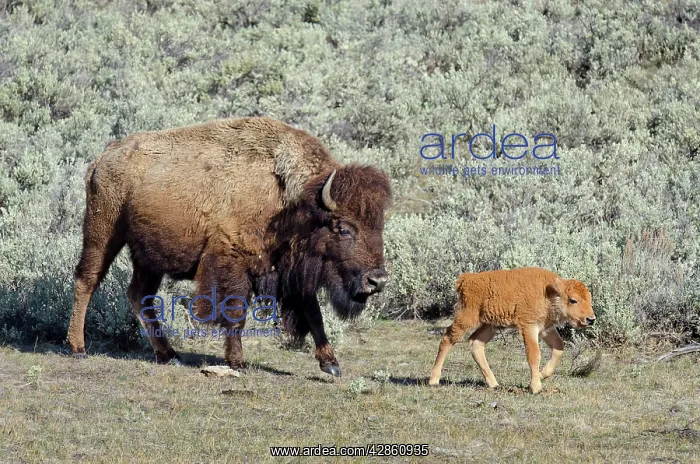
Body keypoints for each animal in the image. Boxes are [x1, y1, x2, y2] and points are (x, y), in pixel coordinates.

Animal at [66, 117, 391, 377]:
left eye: (379, 226)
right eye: (343, 228)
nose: (377, 280)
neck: (291, 199)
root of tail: (103, 157)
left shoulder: (291, 271)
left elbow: (314, 313)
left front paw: (331, 364)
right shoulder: (233, 262)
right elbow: (235, 312)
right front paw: (238, 362)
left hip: (147, 256)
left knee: (138, 294)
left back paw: (168, 354)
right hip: (103, 231)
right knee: (87, 280)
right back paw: (78, 348)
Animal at [428, 267, 595, 393]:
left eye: (590, 299)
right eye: (573, 300)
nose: (591, 319)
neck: (548, 292)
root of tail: (466, 279)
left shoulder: (545, 328)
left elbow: (559, 347)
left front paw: (541, 375)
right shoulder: (529, 326)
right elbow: (534, 355)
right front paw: (536, 387)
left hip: (489, 325)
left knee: (476, 343)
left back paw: (494, 384)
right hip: (467, 318)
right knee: (448, 338)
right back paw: (433, 380)